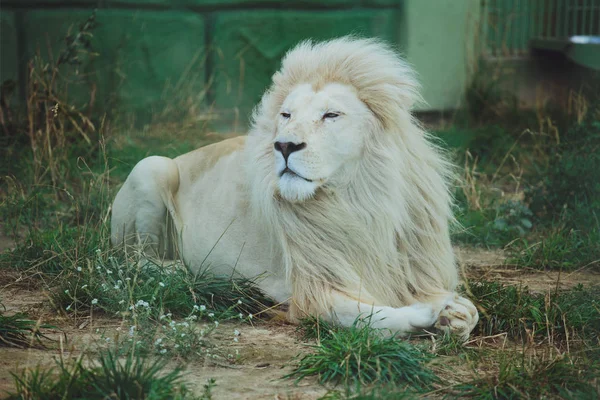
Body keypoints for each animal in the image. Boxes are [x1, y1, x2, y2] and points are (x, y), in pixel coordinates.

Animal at [111, 36, 478, 338]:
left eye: (331, 115)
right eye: (286, 115)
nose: (284, 145)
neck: (360, 202)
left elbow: (471, 311)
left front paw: (455, 314)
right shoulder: (312, 288)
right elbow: (370, 317)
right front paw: (429, 314)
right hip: (150, 167)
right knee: (135, 260)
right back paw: (188, 273)